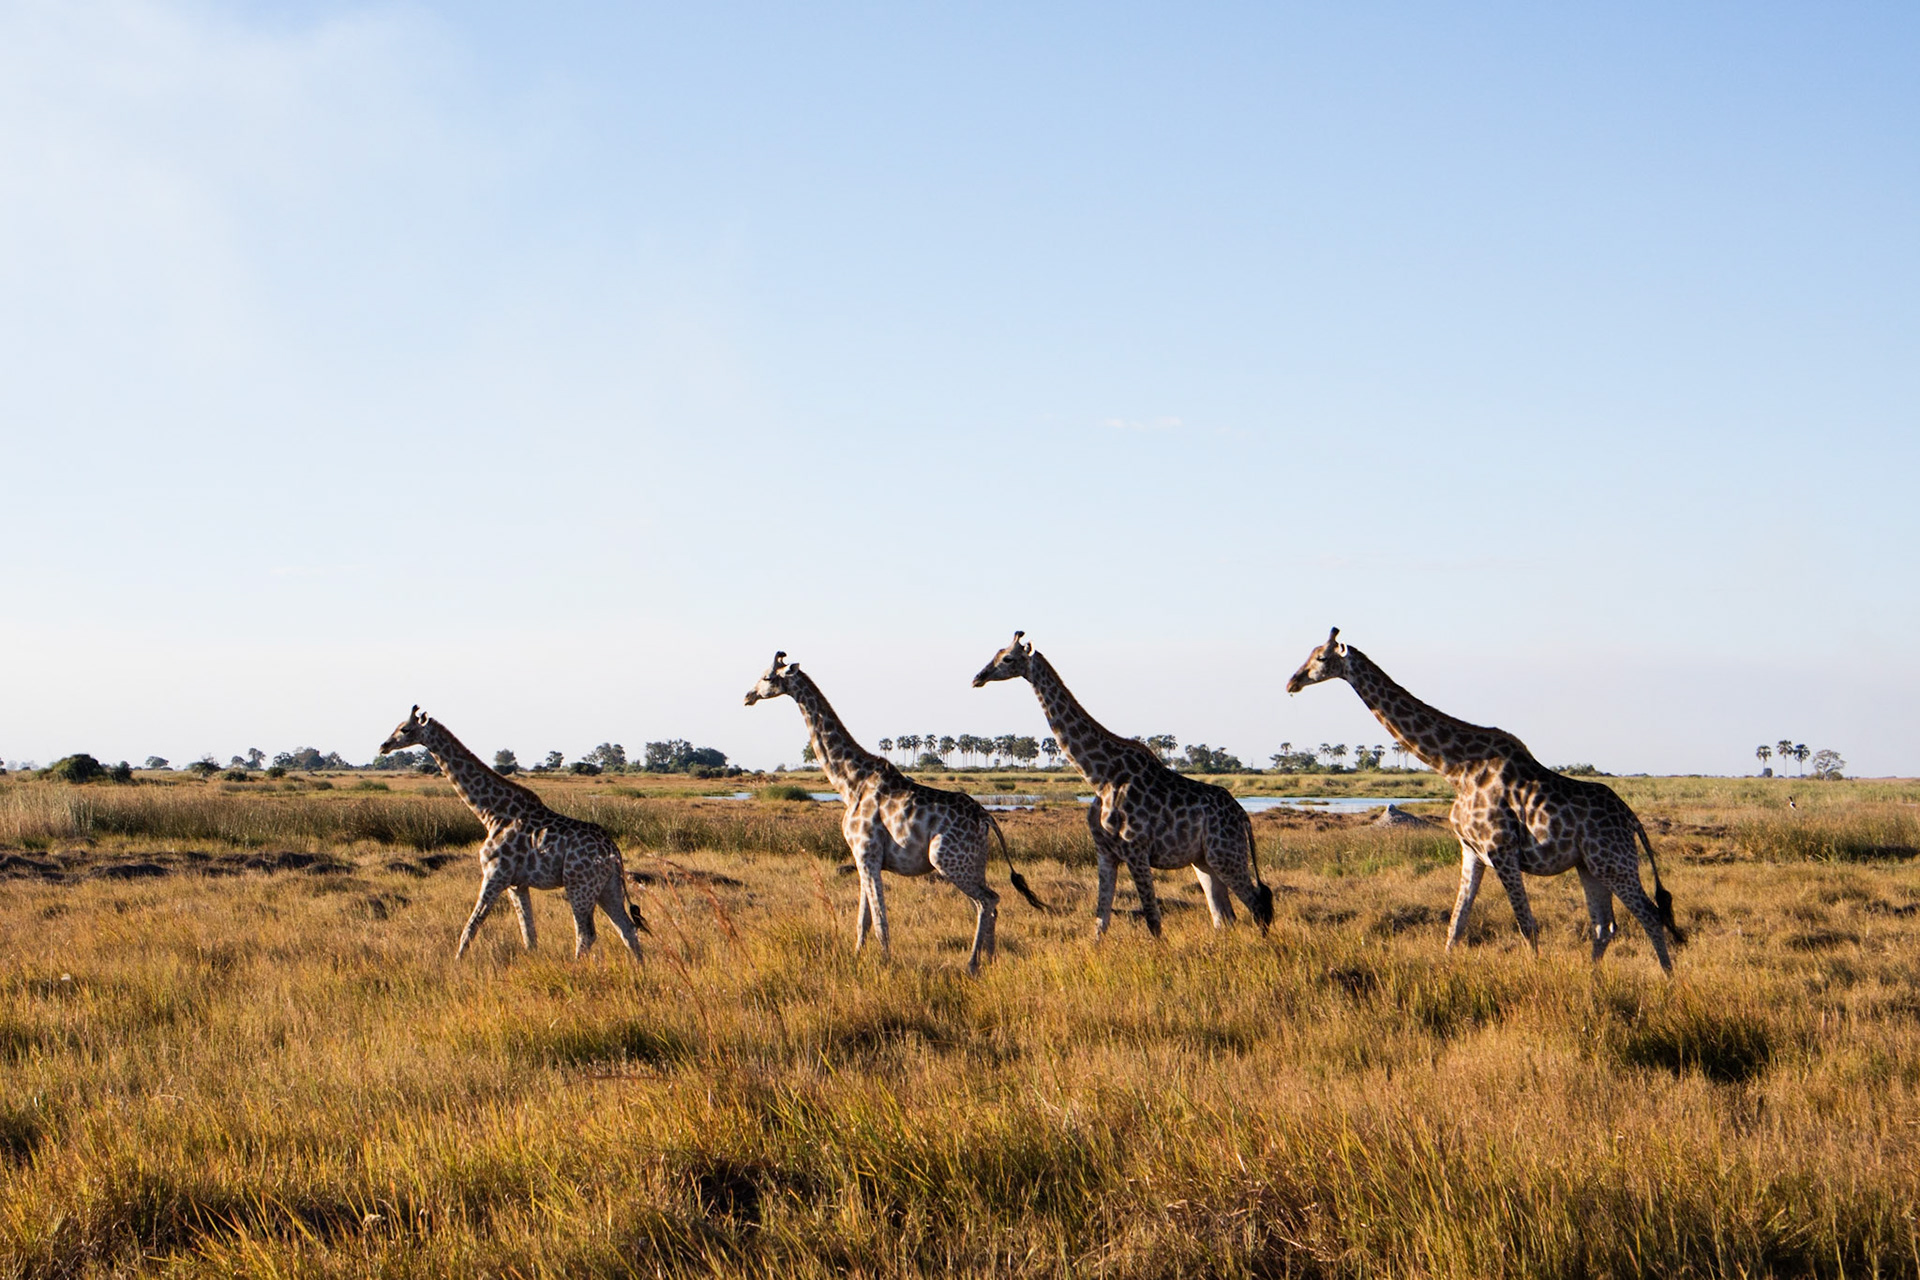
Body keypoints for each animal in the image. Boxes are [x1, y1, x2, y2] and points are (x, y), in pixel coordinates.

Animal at [378, 706, 648, 962]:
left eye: (404, 729)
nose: (383, 746)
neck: (491, 813)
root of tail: (613, 851)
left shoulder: (496, 874)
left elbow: (471, 926)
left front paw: (456, 965)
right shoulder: (517, 884)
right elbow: (529, 935)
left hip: (580, 884)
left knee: (586, 934)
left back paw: (576, 970)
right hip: (607, 887)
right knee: (627, 929)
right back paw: (640, 969)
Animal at [745, 652, 1050, 972]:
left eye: (767, 677)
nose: (748, 696)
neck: (849, 782)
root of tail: (986, 818)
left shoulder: (867, 853)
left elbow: (880, 920)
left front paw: (885, 963)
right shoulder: (865, 858)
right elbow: (863, 920)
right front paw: (856, 957)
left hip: (946, 860)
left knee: (987, 901)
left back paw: (972, 964)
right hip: (974, 863)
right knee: (990, 903)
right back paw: (989, 960)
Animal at [971, 632, 1274, 939]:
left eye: (1008, 659)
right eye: (996, 654)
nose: (977, 678)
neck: (1101, 777)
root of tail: (1243, 816)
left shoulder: (1136, 849)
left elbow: (1153, 920)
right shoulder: (1105, 852)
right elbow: (1100, 921)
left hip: (1226, 855)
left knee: (1257, 904)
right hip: (1204, 861)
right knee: (1224, 915)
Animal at [1285, 628, 1684, 972]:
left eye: (1320, 658)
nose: (1292, 682)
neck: (1455, 768)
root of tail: (1631, 817)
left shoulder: (1501, 850)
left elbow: (1526, 925)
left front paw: (1536, 978)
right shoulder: (1471, 851)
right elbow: (1456, 923)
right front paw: (1444, 971)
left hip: (1613, 862)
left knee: (1649, 914)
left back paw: (1668, 979)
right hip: (1590, 865)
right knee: (1605, 926)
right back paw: (1592, 980)